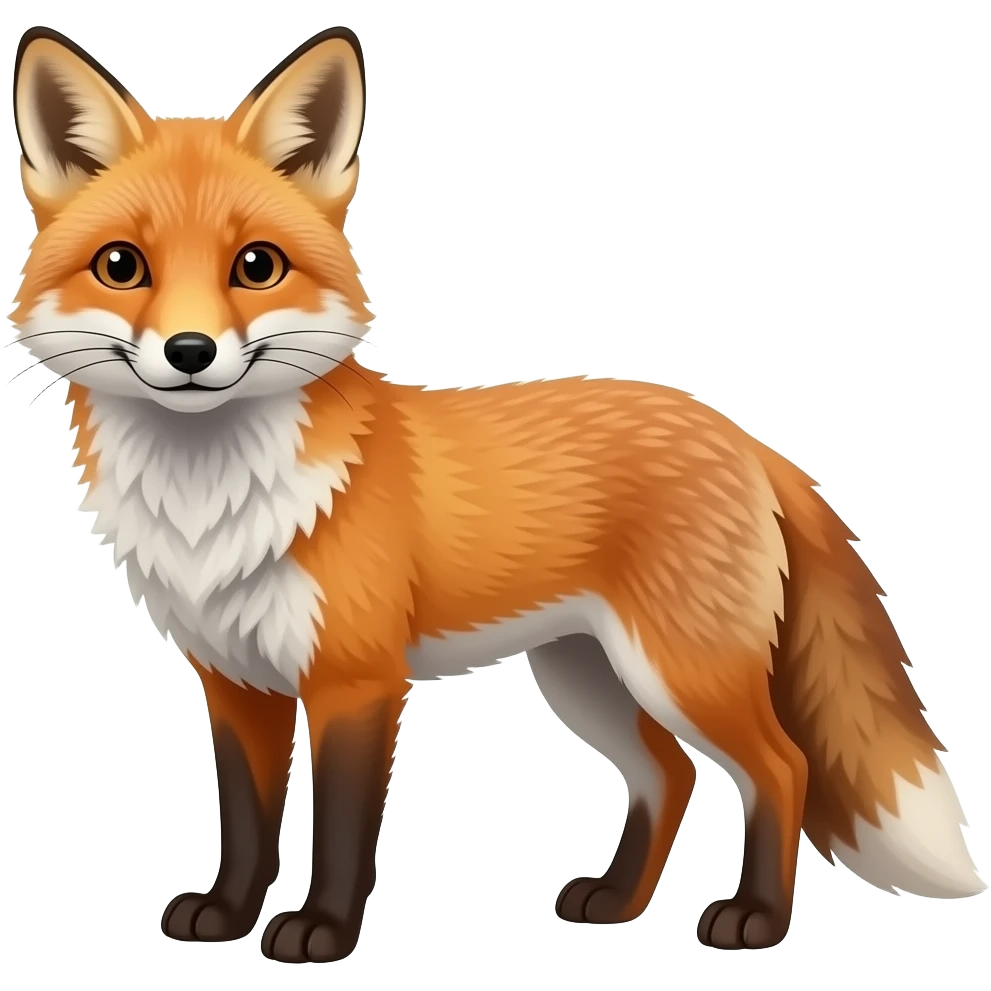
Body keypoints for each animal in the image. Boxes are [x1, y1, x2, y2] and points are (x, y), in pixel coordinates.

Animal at [8, 24, 986, 964]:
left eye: (256, 266)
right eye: (122, 265)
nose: (190, 352)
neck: (209, 501)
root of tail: (743, 436)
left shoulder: (357, 681)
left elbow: (341, 831)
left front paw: (321, 933)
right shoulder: (236, 680)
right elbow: (246, 823)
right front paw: (225, 914)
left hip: (681, 670)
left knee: (780, 768)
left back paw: (754, 917)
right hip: (587, 675)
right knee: (670, 774)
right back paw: (614, 903)